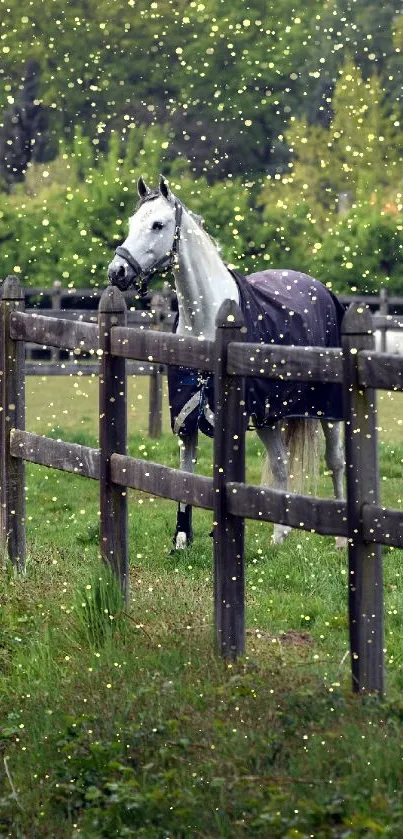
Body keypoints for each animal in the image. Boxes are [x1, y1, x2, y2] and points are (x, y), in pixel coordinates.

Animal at [108, 177, 348, 552]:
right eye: (133, 223)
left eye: (158, 224)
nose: (116, 272)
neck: (206, 320)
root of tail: (319, 288)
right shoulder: (187, 418)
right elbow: (185, 475)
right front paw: (182, 539)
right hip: (268, 416)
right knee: (280, 463)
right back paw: (279, 536)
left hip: (327, 411)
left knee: (335, 462)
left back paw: (340, 540)